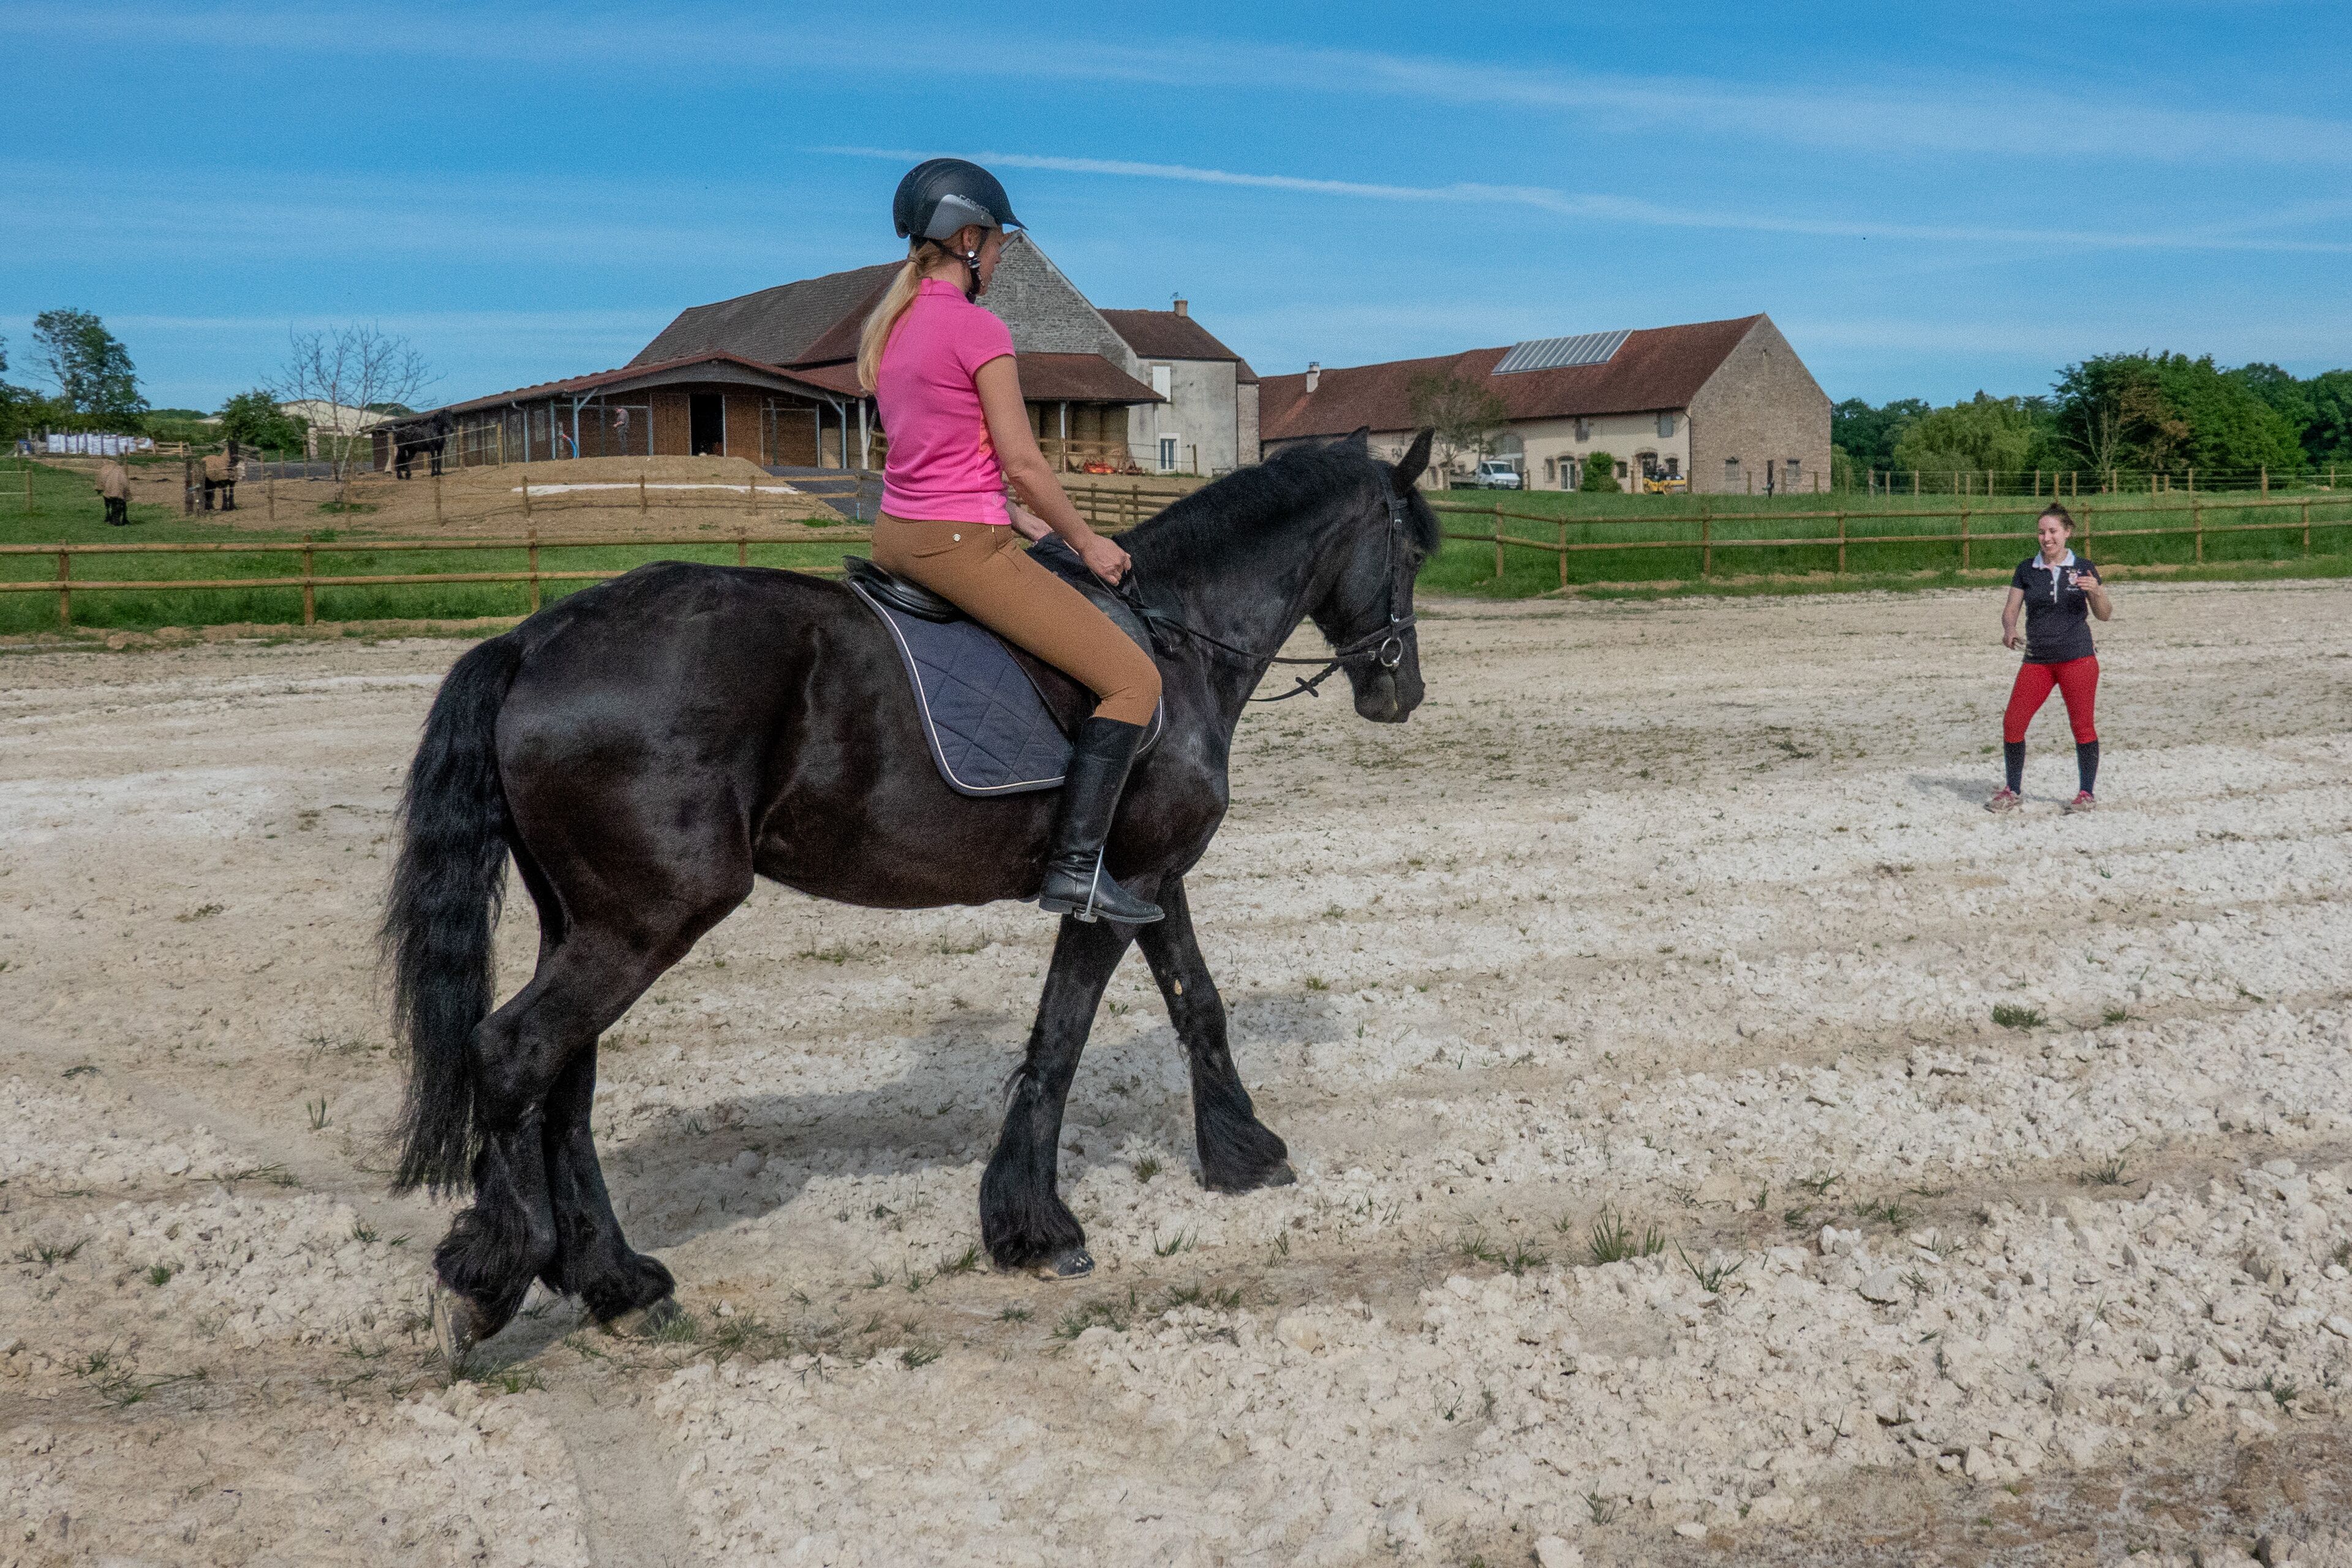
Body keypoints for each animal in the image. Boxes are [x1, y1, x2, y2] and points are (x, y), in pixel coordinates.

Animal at [381, 428, 1439, 1357]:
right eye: (1413, 553)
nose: (1404, 694)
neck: (1178, 643)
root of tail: (534, 638)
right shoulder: (1116, 883)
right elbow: (1061, 1038)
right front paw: (1035, 1228)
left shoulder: (1148, 878)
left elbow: (1197, 1004)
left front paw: (1242, 1152)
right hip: (647, 920)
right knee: (515, 1054)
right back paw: (493, 1281)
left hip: (590, 919)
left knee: (563, 1079)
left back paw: (616, 1284)